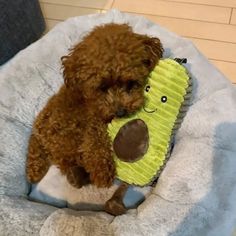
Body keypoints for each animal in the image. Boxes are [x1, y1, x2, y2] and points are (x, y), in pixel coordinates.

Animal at [25, 23, 162, 195]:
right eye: (102, 87)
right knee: (65, 160)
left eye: (130, 83)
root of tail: (37, 131)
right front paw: (102, 172)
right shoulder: (93, 118)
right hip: (64, 135)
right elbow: (95, 138)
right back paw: (76, 176)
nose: (120, 113)